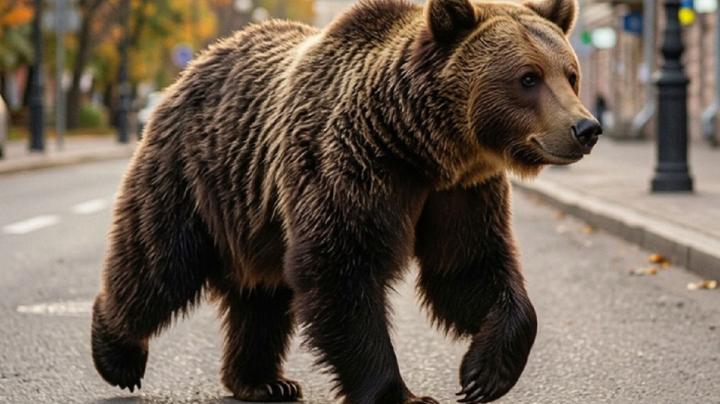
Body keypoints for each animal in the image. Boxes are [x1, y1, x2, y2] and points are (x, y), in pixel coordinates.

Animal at [90, 0, 601, 403]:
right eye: (528, 77)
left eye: (570, 74)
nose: (586, 128)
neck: (420, 147)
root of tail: (194, 65)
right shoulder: (348, 165)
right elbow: (342, 270)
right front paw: (400, 394)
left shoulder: (459, 193)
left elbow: (468, 268)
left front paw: (483, 373)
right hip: (192, 177)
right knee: (159, 264)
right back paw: (117, 352)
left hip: (258, 217)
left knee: (263, 297)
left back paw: (263, 382)